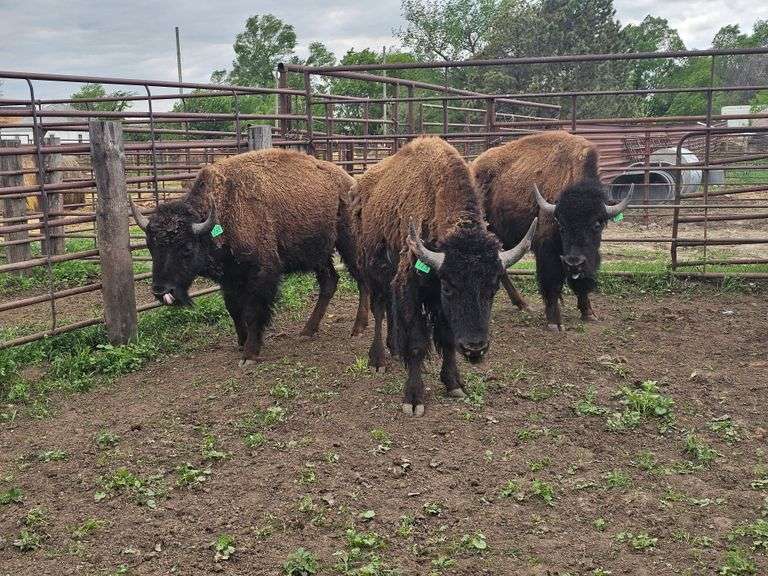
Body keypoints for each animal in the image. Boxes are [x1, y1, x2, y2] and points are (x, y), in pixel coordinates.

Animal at [130, 148, 369, 365]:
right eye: (151, 246)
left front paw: (249, 355)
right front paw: (241, 342)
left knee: (361, 280)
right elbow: (234, 310)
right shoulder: (229, 279)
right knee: (329, 282)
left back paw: (358, 328)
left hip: (349, 244)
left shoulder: (261, 273)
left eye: (186, 247)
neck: (223, 213)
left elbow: (252, 312)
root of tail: (349, 181)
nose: (160, 290)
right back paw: (308, 330)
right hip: (318, 253)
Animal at [352, 136, 536, 417]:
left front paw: (454, 384)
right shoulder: (412, 288)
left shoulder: (434, 303)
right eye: (448, 287)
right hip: (373, 271)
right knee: (380, 309)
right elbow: (417, 342)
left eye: (493, 288)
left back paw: (394, 349)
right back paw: (378, 359)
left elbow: (447, 339)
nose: (475, 348)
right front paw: (413, 399)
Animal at [472, 131, 630, 332]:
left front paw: (589, 313)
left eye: (597, 224)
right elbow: (552, 281)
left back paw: (523, 304)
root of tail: (472, 167)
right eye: (561, 225)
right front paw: (554, 322)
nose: (574, 263)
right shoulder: (547, 249)